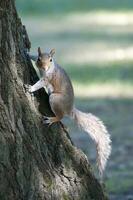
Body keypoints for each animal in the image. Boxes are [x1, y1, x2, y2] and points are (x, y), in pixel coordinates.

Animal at [25, 47, 111, 177]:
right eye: (39, 59)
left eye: (51, 60)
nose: (44, 67)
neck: (48, 70)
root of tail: (70, 109)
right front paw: (28, 53)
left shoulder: (48, 78)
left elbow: (40, 83)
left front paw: (31, 88)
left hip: (55, 99)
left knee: (60, 116)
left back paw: (52, 119)